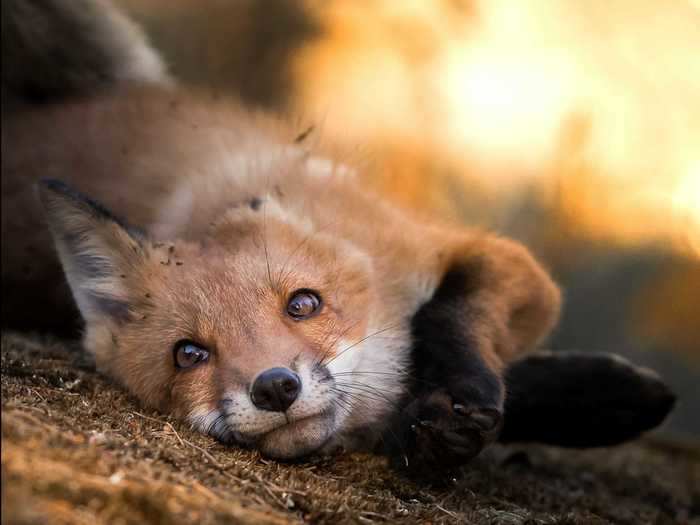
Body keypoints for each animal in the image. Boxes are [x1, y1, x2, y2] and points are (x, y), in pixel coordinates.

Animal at [2, 0, 676, 474]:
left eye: (304, 304)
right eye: (188, 354)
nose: (275, 387)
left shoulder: (489, 260)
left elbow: (445, 316)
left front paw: (457, 400)